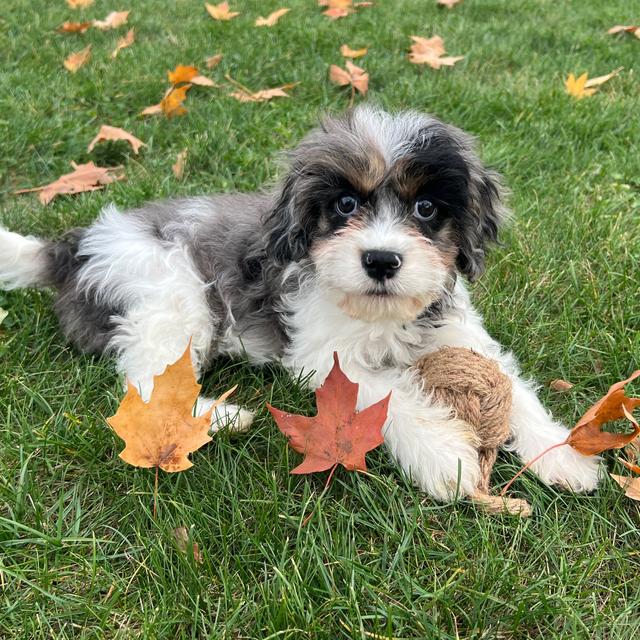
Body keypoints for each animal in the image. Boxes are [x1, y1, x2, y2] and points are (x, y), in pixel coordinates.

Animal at [0, 105, 600, 500]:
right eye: (345, 204)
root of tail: (71, 248)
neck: (379, 314)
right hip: (171, 289)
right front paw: (445, 457)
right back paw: (218, 417)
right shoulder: (326, 357)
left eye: (427, 208)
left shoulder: (461, 334)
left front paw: (563, 455)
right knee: (148, 376)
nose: (381, 259)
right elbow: (389, 395)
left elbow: (512, 389)